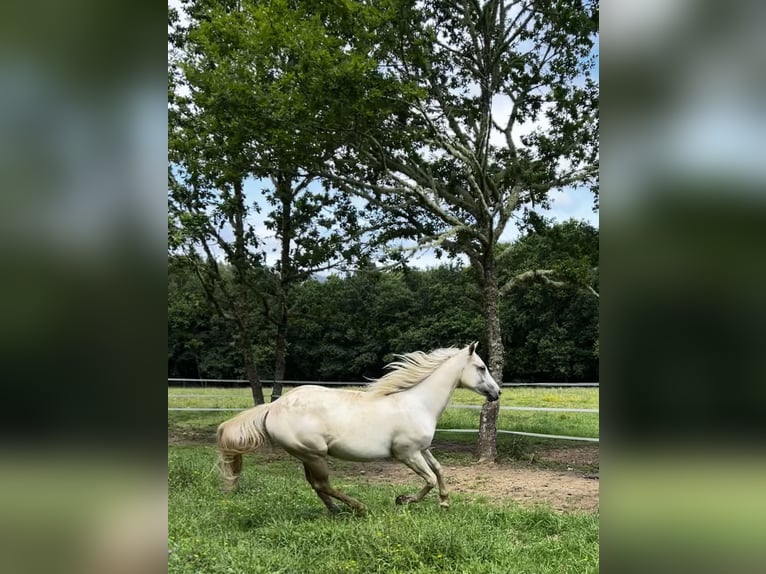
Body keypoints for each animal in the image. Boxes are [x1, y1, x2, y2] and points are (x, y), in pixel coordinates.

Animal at [218, 342, 504, 516]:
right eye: (481, 367)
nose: (497, 393)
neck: (418, 403)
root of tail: (273, 407)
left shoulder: (422, 449)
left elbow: (439, 470)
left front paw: (445, 502)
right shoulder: (406, 453)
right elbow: (429, 479)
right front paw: (403, 500)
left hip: (307, 456)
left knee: (316, 485)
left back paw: (336, 511)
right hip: (313, 454)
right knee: (323, 484)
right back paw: (359, 508)